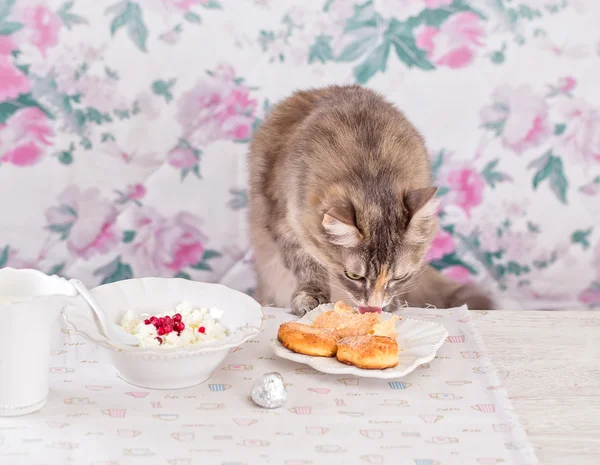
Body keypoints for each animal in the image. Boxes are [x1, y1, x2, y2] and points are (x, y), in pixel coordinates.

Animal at [246, 84, 494, 316]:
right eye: (353, 275)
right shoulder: (284, 219)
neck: (371, 167)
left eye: (399, 277)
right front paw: (310, 297)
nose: (374, 306)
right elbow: (308, 265)